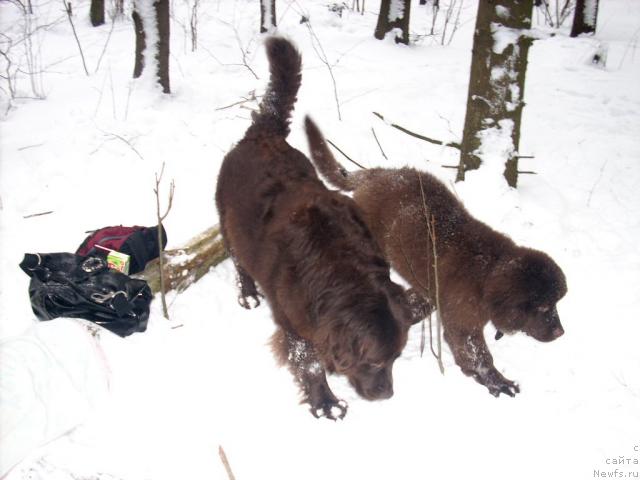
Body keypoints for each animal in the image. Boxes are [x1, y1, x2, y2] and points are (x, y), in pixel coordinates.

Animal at [216, 38, 420, 420]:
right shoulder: (294, 323)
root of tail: (262, 132)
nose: (387, 394)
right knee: (238, 259)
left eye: (397, 357)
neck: (343, 274)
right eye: (374, 362)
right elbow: (308, 363)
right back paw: (248, 292)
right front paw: (325, 401)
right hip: (227, 220)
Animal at [304, 117, 564, 398]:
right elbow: (476, 354)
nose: (561, 332)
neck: (487, 273)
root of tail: (378, 173)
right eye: (543, 307)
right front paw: (497, 381)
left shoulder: (435, 292)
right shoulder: (464, 323)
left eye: (555, 304)